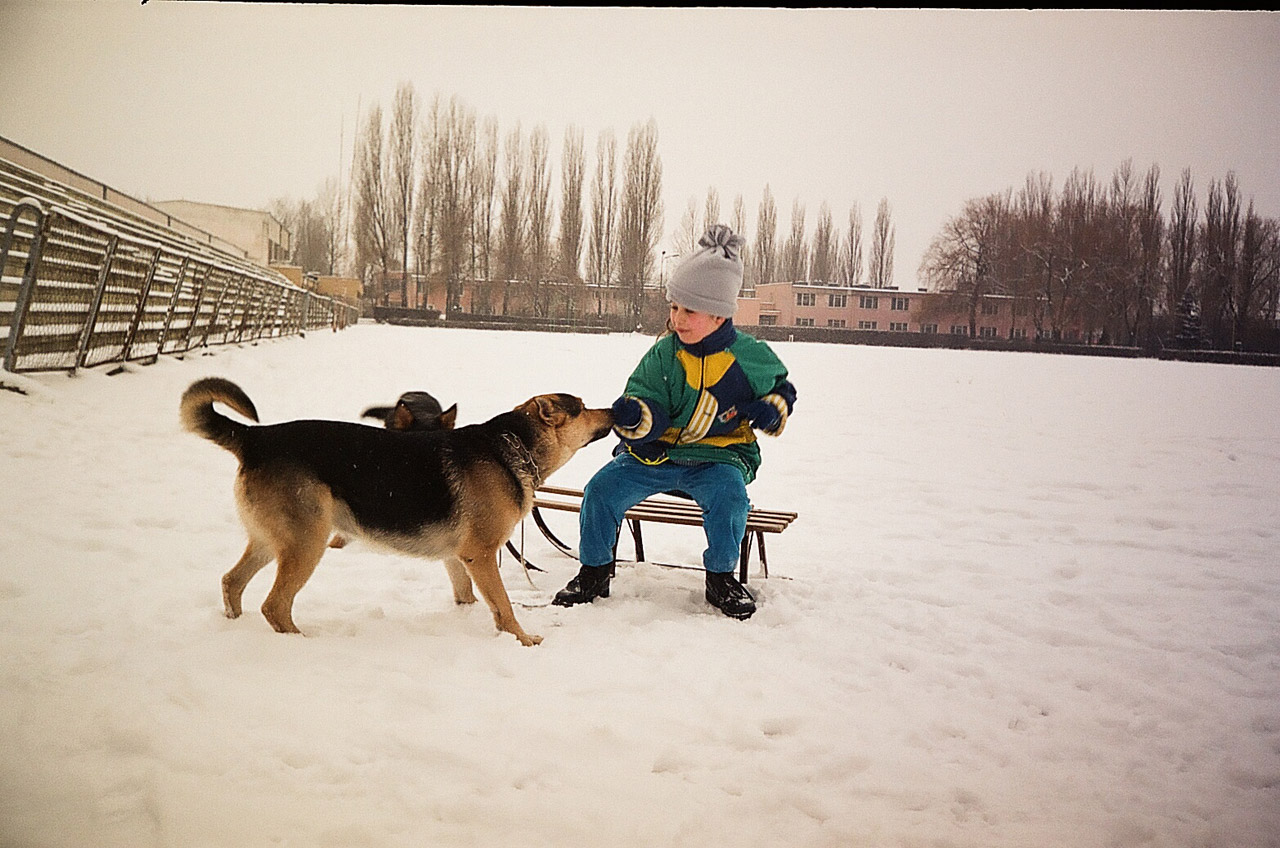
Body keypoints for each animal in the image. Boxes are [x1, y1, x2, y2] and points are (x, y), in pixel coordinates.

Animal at [181, 379, 614, 645]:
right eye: (581, 408)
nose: (614, 408)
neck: (514, 444)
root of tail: (255, 437)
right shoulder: (481, 554)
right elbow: (504, 606)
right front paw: (523, 640)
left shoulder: (460, 558)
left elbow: (468, 596)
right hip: (306, 544)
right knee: (274, 605)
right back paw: (301, 642)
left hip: (272, 541)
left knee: (232, 581)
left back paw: (235, 625)